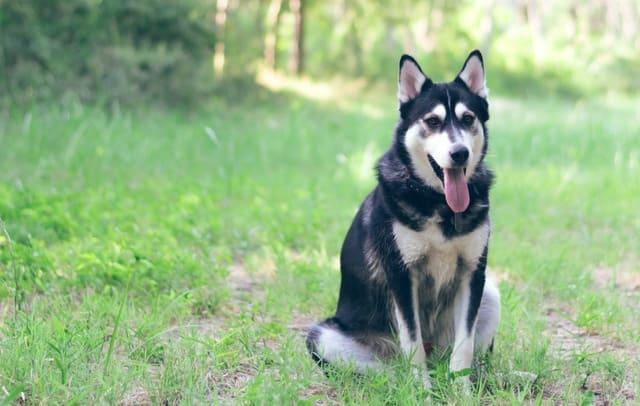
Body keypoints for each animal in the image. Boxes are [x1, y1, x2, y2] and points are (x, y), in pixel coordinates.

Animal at [304, 50, 500, 386]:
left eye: (468, 119)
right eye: (432, 121)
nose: (459, 153)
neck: (439, 203)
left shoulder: (473, 273)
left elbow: (464, 346)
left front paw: (461, 389)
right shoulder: (401, 274)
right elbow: (412, 341)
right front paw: (422, 390)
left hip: (491, 295)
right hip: (323, 336)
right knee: (393, 366)